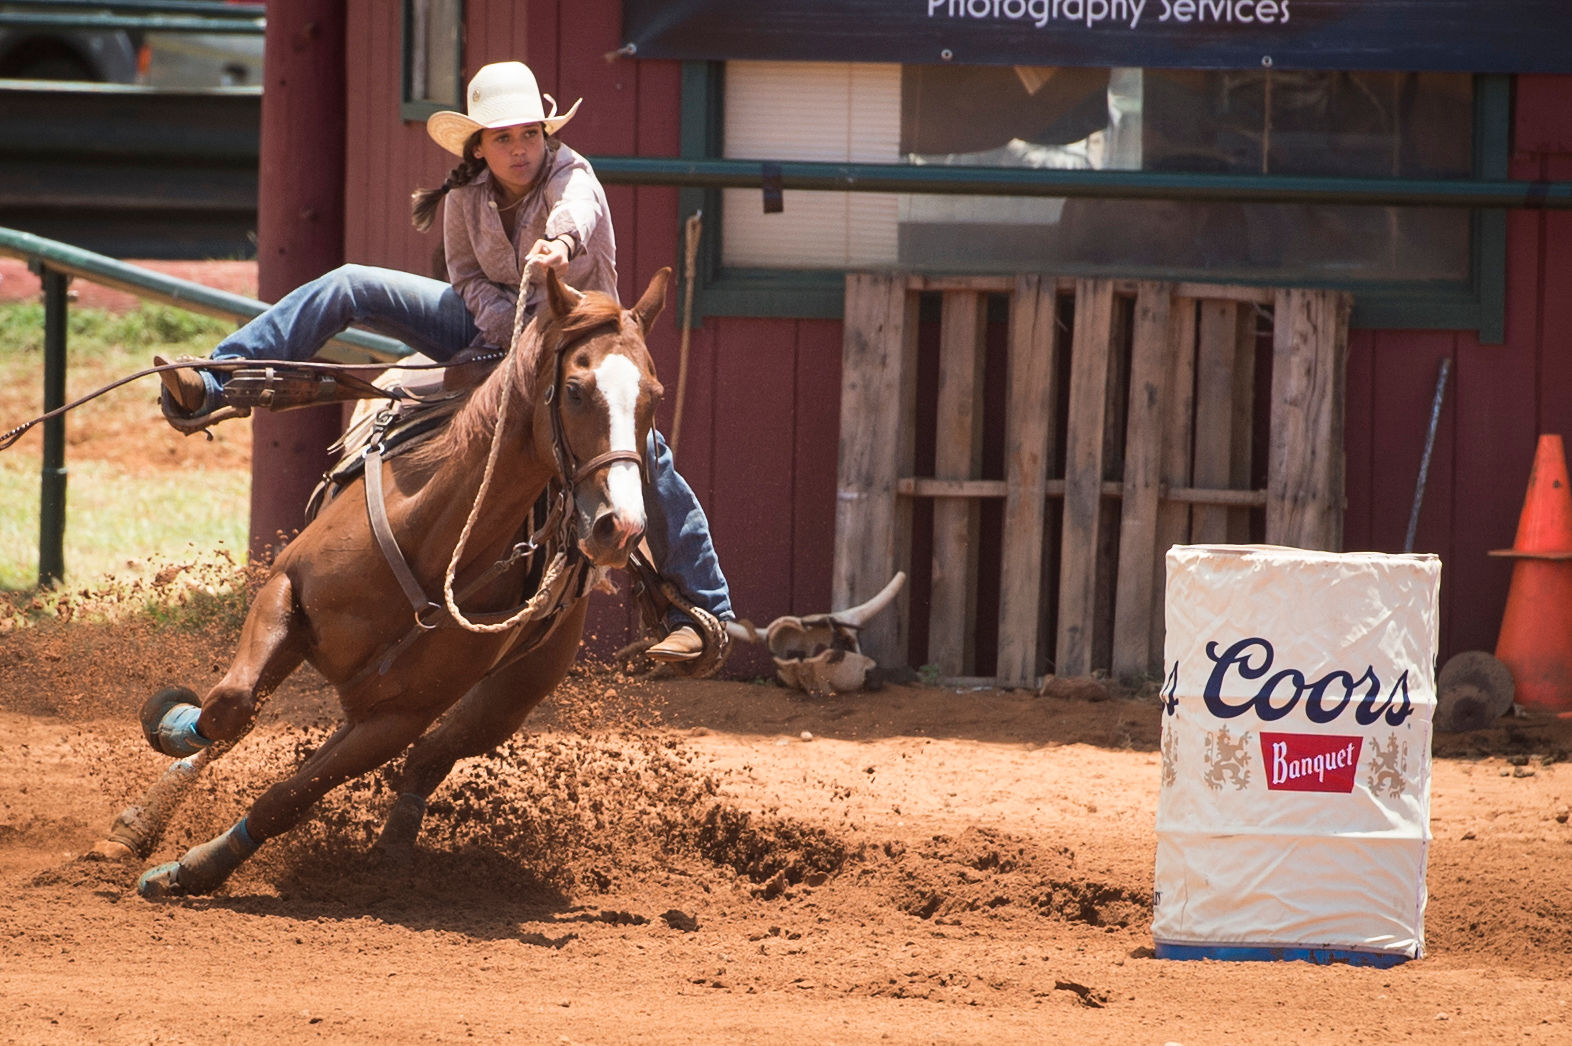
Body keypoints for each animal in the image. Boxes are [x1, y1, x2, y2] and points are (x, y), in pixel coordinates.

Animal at [91, 265, 669, 893]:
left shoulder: (399, 715)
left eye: (654, 398)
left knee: (427, 757)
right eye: (576, 390)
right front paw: (168, 723)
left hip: (511, 695)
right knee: (242, 718)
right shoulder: (286, 590)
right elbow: (229, 707)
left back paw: (394, 845)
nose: (622, 526)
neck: (430, 539)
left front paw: (193, 868)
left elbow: (289, 796)